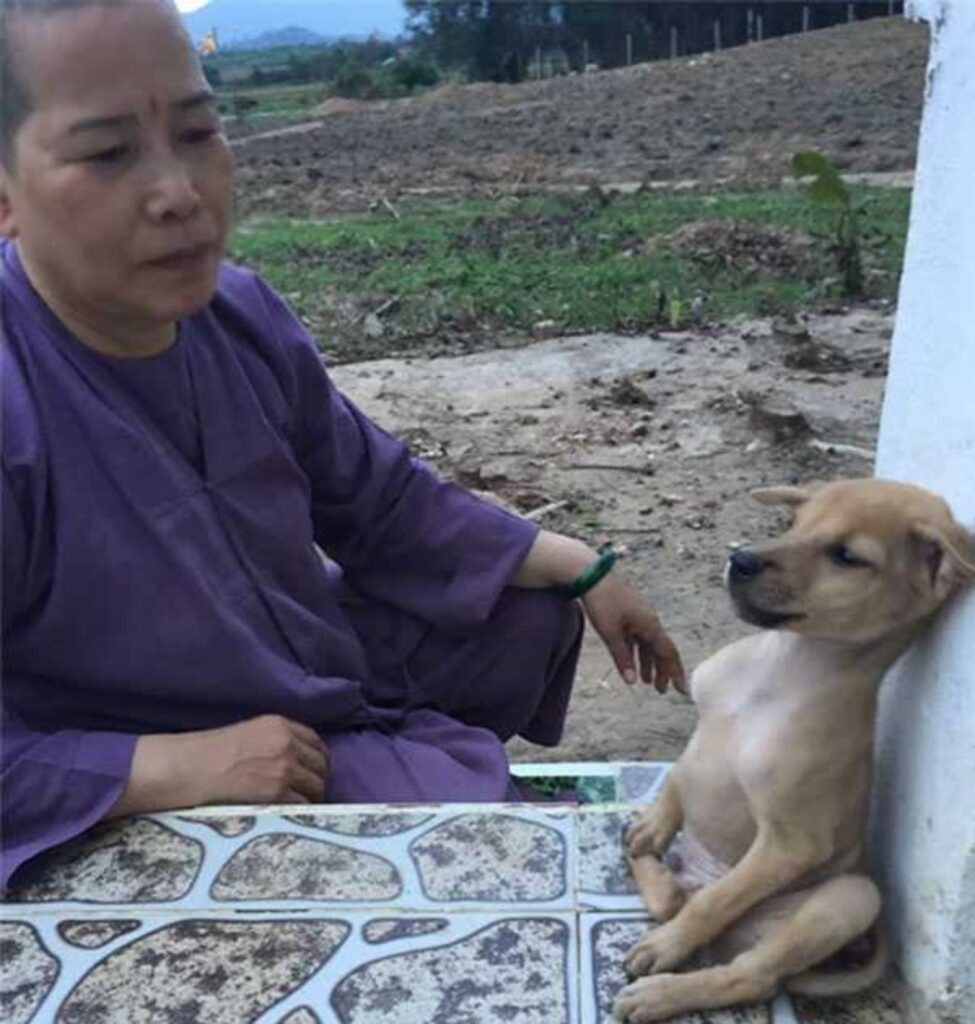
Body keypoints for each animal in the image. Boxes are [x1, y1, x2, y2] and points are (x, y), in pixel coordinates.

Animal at [618, 475, 975, 1019]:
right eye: (793, 523)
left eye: (846, 557)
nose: (740, 560)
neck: (780, 668)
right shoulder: (700, 739)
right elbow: (678, 778)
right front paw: (653, 826)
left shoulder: (789, 846)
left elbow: (718, 901)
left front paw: (667, 946)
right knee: (673, 899)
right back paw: (648, 860)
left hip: (850, 897)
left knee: (748, 967)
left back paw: (662, 990)